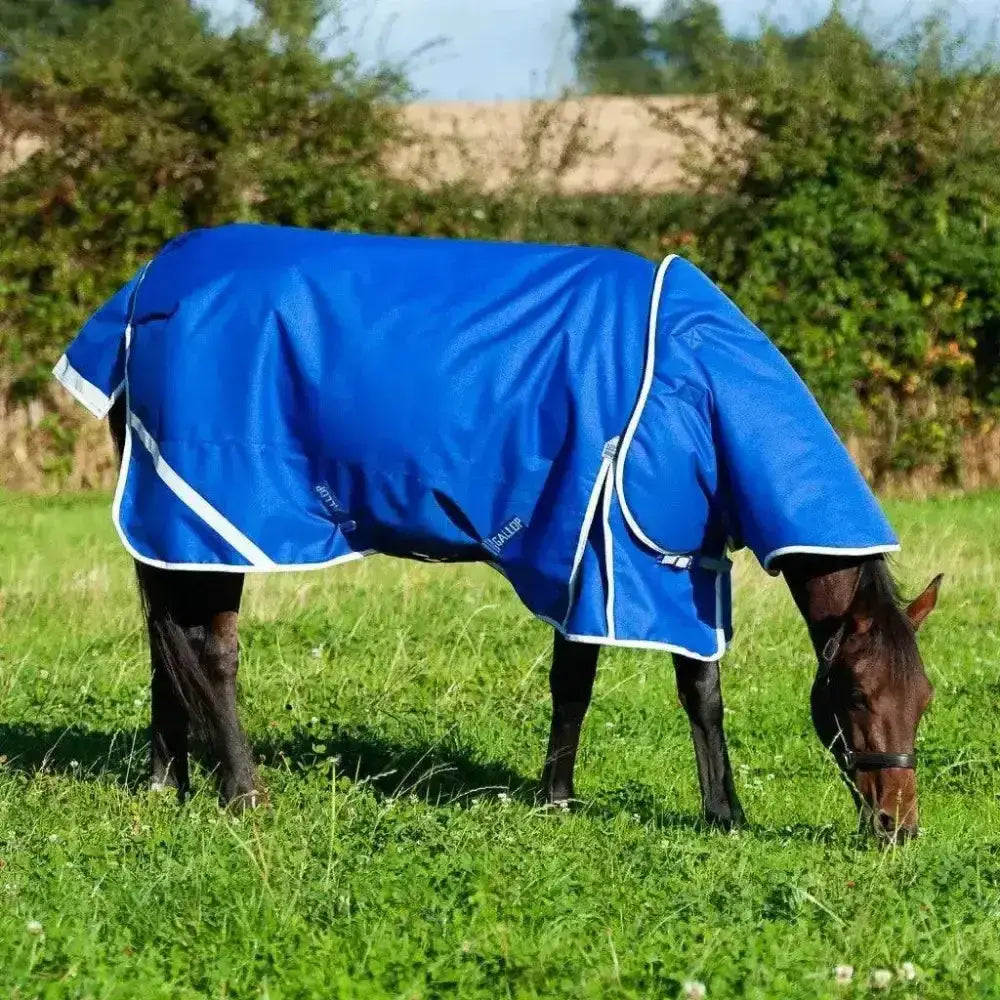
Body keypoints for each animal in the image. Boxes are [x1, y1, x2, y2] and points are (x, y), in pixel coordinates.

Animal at [56, 225, 940, 841]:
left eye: (925, 698)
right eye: (856, 694)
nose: (895, 827)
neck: (698, 382)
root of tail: (146, 287)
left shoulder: (675, 558)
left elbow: (690, 689)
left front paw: (710, 811)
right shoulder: (606, 553)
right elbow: (594, 682)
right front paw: (575, 801)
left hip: (175, 534)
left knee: (167, 639)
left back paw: (168, 782)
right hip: (215, 516)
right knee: (208, 650)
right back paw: (243, 793)